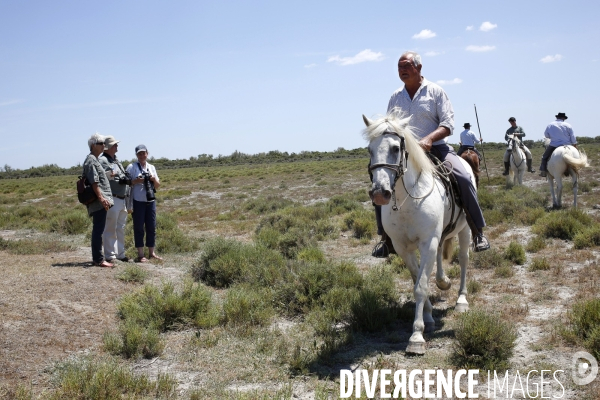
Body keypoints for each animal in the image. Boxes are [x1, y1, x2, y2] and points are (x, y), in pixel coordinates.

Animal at [364, 114, 472, 354]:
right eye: (369, 149)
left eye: (396, 148)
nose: (380, 193)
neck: (407, 201)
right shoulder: (403, 247)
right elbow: (417, 279)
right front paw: (428, 318)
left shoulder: (427, 242)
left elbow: (421, 286)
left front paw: (416, 336)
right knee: (441, 254)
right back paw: (443, 281)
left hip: (465, 230)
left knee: (463, 259)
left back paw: (461, 300)